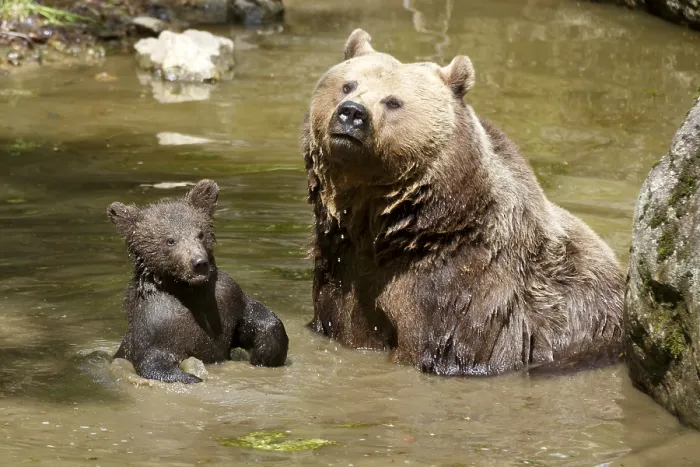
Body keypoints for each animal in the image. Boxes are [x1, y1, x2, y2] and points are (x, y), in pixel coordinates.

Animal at [107, 179, 289, 384]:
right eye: (170, 240)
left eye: (200, 233)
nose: (199, 263)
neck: (189, 290)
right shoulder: (156, 324)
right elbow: (153, 361)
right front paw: (194, 377)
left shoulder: (226, 299)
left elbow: (252, 319)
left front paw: (266, 353)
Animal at [300, 28, 624, 376]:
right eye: (347, 84)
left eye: (394, 101)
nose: (352, 113)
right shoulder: (342, 267)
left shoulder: (458, 284)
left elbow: (434, 344)